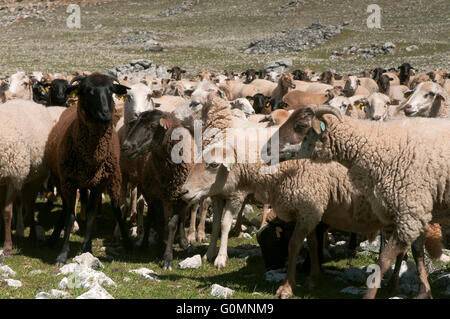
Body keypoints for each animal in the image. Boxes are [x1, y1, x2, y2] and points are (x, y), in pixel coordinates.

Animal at [0, 100, 66, 255]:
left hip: (37, 176)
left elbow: (7, 212)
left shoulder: (14, 177)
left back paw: (33, 237)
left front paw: (7, 247)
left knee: (30, 205)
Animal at [268, 106, 450, 298]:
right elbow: (416, 252)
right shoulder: (414, 209)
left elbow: (384, 259)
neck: (379, 147)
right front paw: (424, 291)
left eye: (301, 125)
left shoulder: (411, 209)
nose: (266, 150)